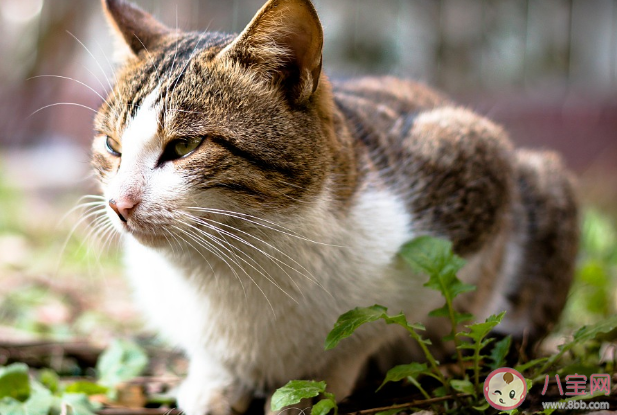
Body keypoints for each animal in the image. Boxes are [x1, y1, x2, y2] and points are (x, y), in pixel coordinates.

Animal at [92, 0, 576, 415]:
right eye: (112, 146)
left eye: (184, 146)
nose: (119, 204)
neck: (233, 258)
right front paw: (214, 382)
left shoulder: (474, 158)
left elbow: (370, 332)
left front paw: (314, 387)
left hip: (541, 182)